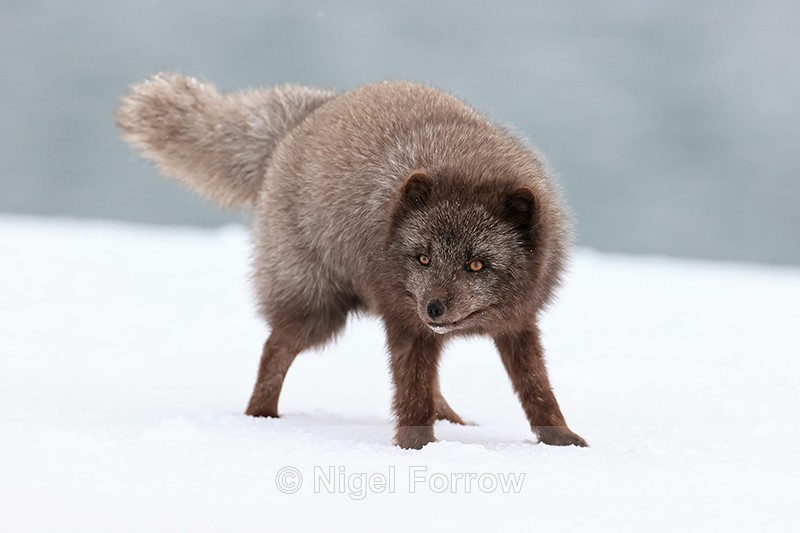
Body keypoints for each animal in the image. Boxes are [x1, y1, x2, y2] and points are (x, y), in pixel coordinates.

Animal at [116, 74, 587, 449]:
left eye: (476, 265)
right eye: (423, 258)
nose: (434, 308)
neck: (464, 160)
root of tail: (306, 115)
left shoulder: (518, 322)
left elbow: (536, 387)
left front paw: (561, 440)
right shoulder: (405, 321)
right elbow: (411, 393)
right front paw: (417, 450)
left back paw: (453, 420)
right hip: (318, 310)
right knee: (274, 349)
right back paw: (260, 419)